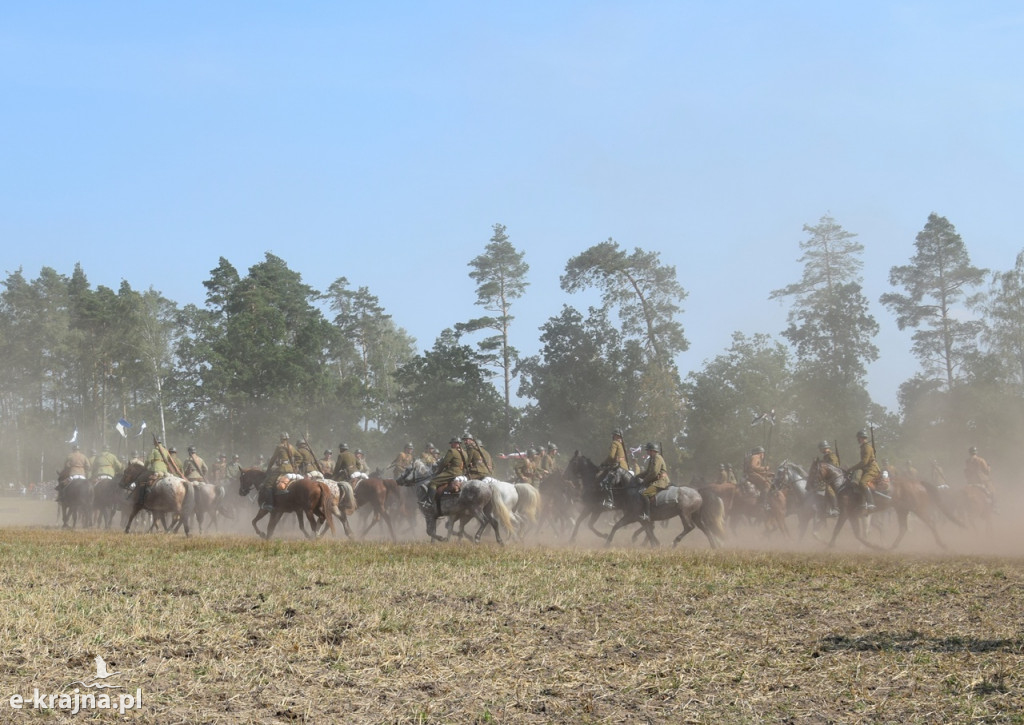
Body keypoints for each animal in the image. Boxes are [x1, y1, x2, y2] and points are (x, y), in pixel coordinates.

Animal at [802, 458, 962, 548]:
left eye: (813, 471)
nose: (807, 486)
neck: (842, 484)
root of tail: (918, 483)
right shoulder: (852, 515)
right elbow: (857, 534)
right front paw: (873, 546)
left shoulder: (845, 514)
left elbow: (838, 531)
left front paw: (828, 547)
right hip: (901, 510)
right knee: (903, 528)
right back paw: (891, 547)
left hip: (918, 509)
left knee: (931, 523)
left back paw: (942, 544)